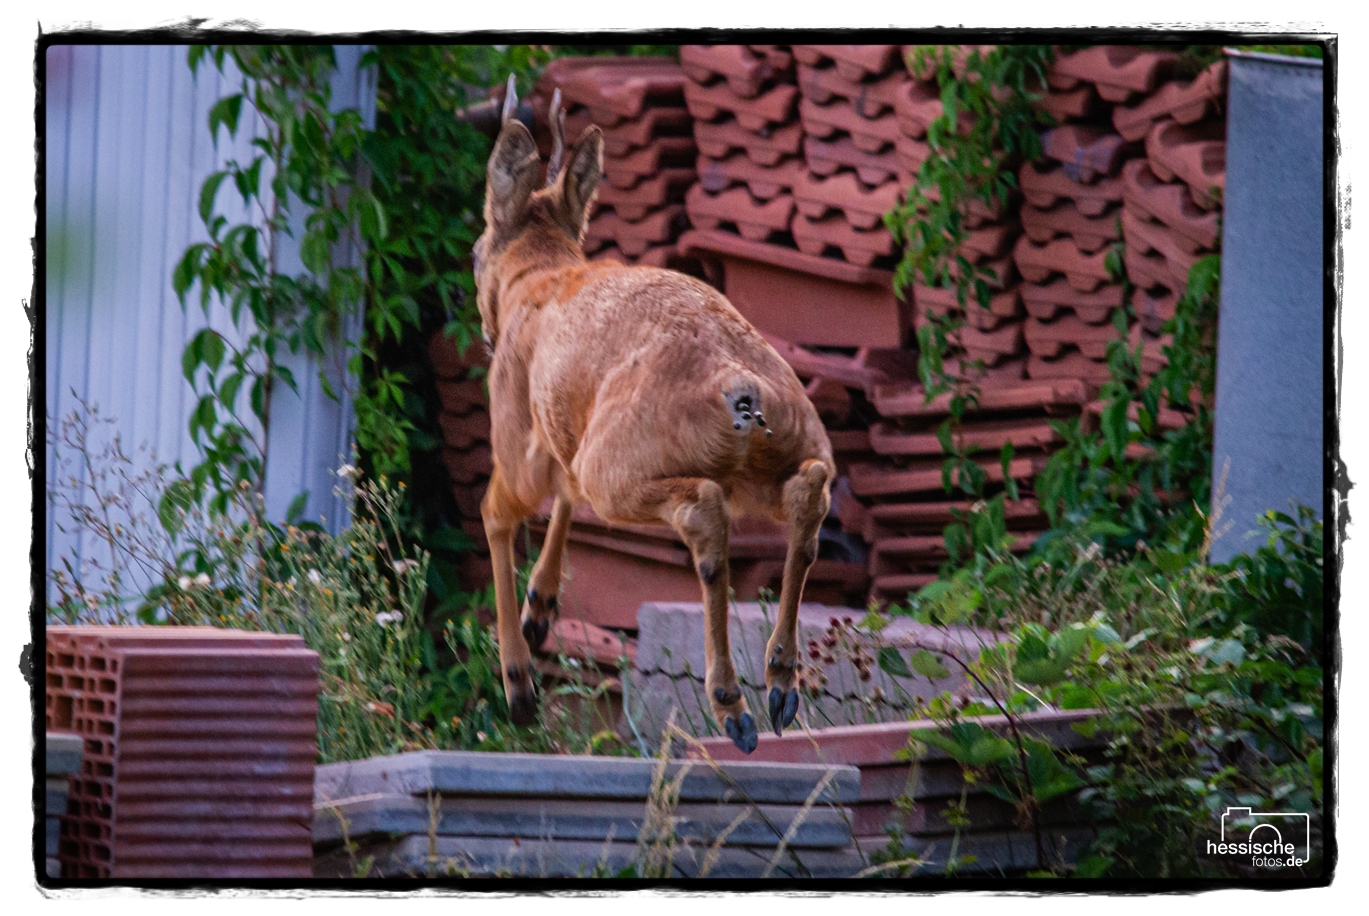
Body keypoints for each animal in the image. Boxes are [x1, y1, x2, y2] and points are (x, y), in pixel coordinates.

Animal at [470, 80, 832, 750]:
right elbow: (563, 492)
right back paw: (779, 687)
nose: (484, 331)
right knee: (809, 495)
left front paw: (519, 683)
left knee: (701, 513)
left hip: (623, 468)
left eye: (477, 248)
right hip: (771, 456)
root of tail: (740, 389)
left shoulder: (519, 435)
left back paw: (733, 707)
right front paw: (540, 611)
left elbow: (497, 513)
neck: (540, 276)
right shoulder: (565, 430)